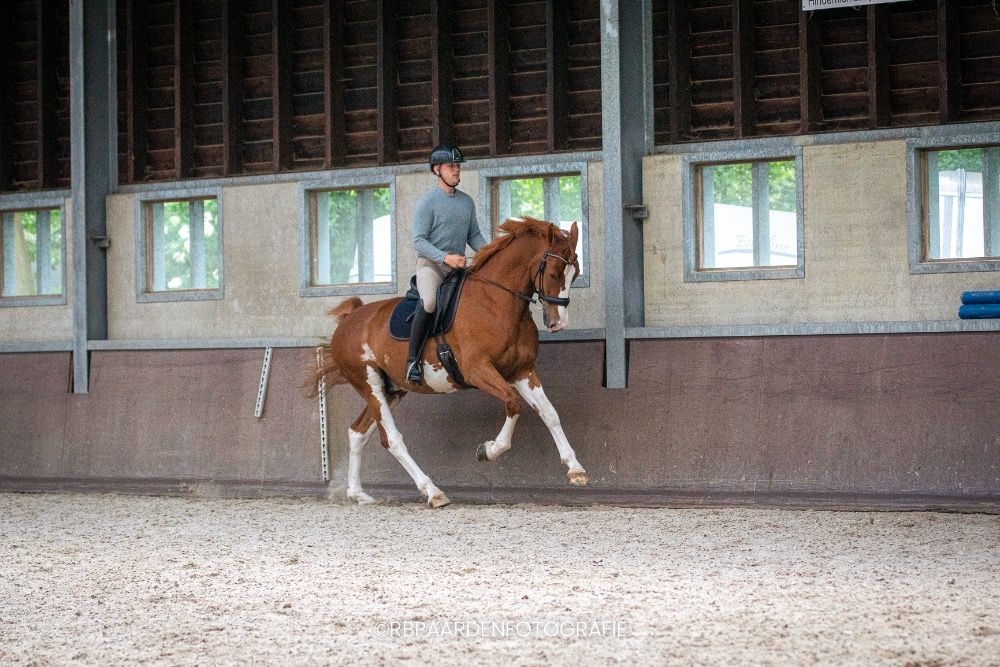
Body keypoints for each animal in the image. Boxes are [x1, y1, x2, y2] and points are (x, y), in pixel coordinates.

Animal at [311, 216, 589, 508]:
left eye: (575, 273)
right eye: (554, 274)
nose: (558, 323)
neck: (496, 303)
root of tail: (348, 321)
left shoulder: (522, 372)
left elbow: (549, 413)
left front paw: (575, 469)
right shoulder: (477, 370)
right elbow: (513, 403)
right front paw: (488, 451)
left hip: (391, 390)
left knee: (358, 432)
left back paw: (358, 493)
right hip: (371, 385)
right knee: (392, 440)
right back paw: (433, 492)